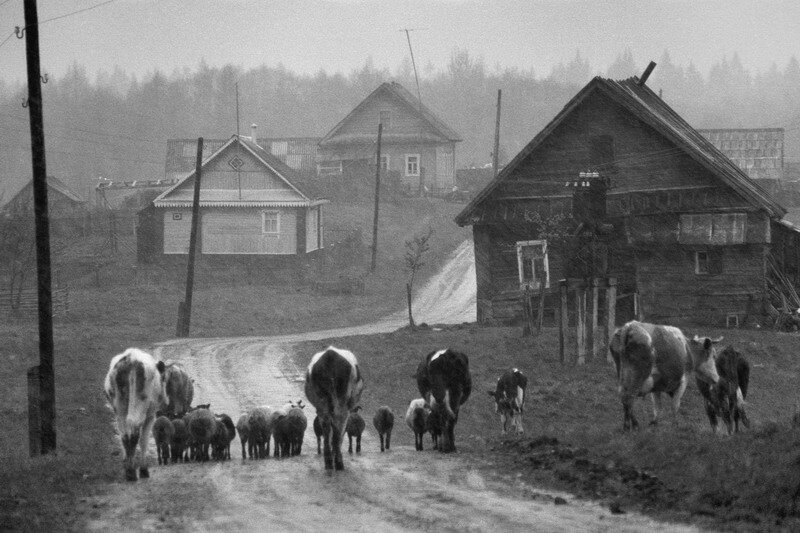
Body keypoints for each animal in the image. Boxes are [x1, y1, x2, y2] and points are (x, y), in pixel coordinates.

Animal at [103, 348, 167, 480]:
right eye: (164, 379)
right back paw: (133, 472)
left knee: (125, 435)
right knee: (134, 430)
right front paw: (143, 469)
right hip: (140, 404)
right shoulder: (151, 416)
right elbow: (144, 440)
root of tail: (131, 359)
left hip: (119, 407)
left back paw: (129, 470)